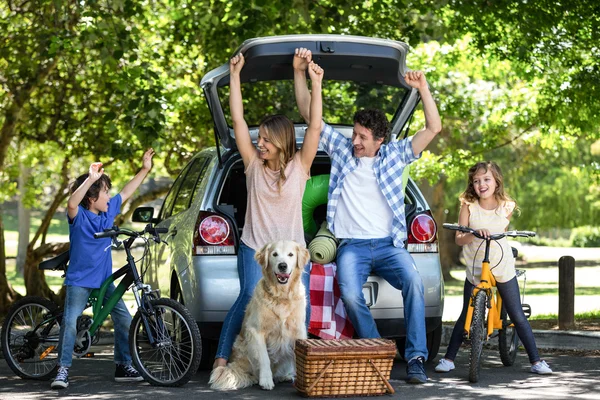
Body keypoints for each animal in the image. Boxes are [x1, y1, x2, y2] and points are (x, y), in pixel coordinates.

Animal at [209, 241, 310, 390]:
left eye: (291, 254)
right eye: (275, 254)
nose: (282, 266)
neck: (281, 296)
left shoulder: (298, 331)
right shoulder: (256, 331)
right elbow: (264, 358)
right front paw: (266, 380)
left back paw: (283, 376)